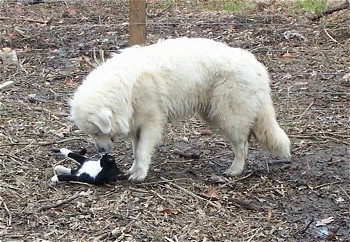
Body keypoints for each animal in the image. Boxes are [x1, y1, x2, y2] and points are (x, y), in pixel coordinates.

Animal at [69, 37, 292, 182]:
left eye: (97, 132)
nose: (100, 151)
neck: (125, 86)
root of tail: (257, 67)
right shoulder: (137, 123)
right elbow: (135, 149)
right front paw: (133, 169)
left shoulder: (151, 121)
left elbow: (142, 151)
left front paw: (139, 174)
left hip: (228, 115)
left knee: (242, 145)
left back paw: (234, 170)